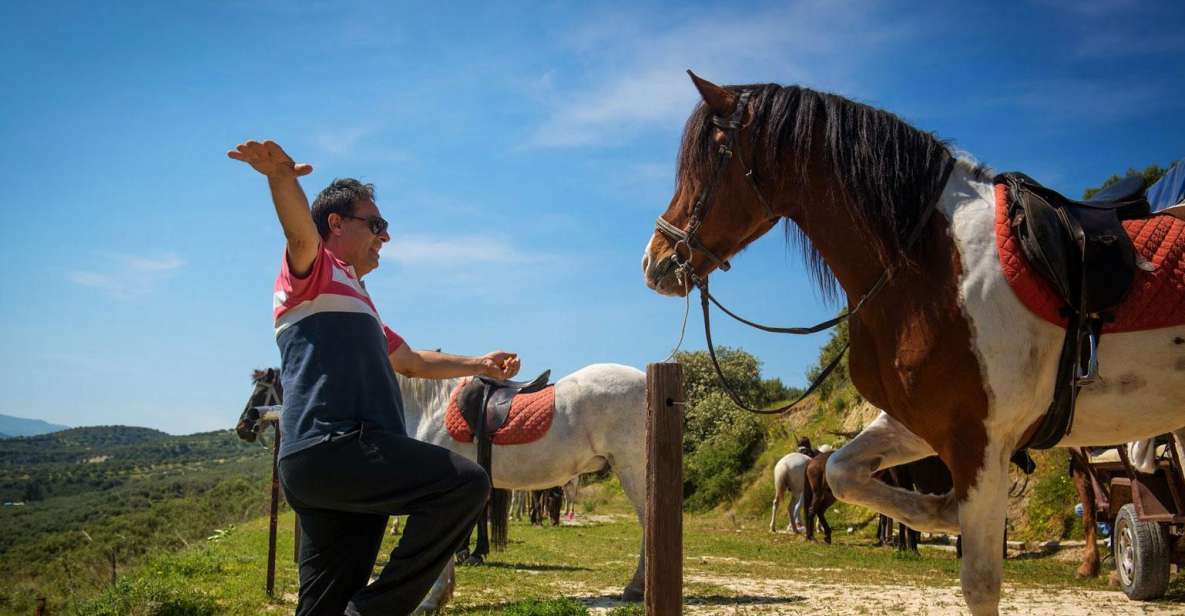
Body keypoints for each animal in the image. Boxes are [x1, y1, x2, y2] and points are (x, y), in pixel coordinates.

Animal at [644, 74, 1185, 611]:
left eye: (711, 157)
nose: (656, 261)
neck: (930, 263)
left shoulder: (977, 439)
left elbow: (980, 581)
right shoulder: (920, 423)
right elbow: (841, 472)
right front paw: (939, 512)